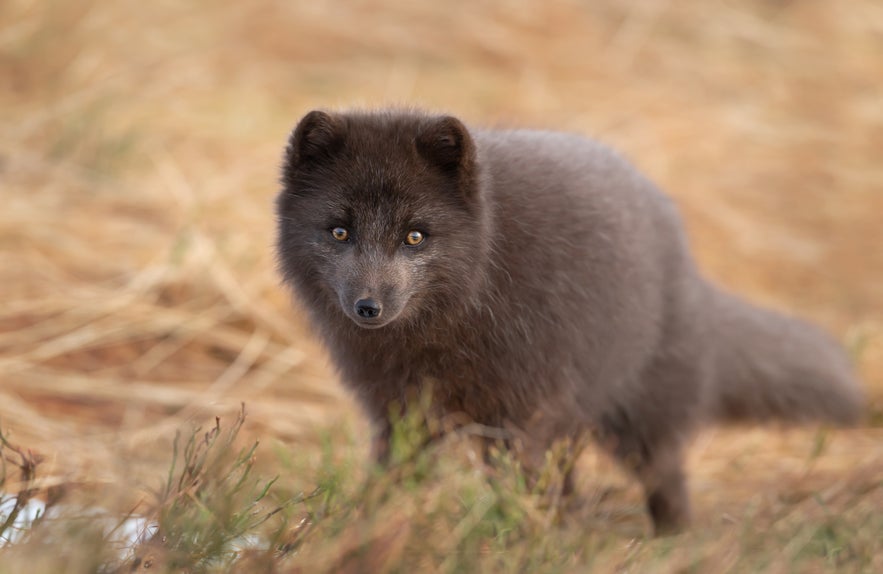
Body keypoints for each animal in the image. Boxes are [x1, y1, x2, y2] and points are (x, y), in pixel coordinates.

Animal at [274, 107, 864, 536]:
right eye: (339, 231)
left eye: (415, 236)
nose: (368, 307)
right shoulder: (398, 412)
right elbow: (390, 479)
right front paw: (360, 531)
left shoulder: (522, 409)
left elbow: (519, 486)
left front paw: (518, 540)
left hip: (639, 411)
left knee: (665, 474)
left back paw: (671, 540)